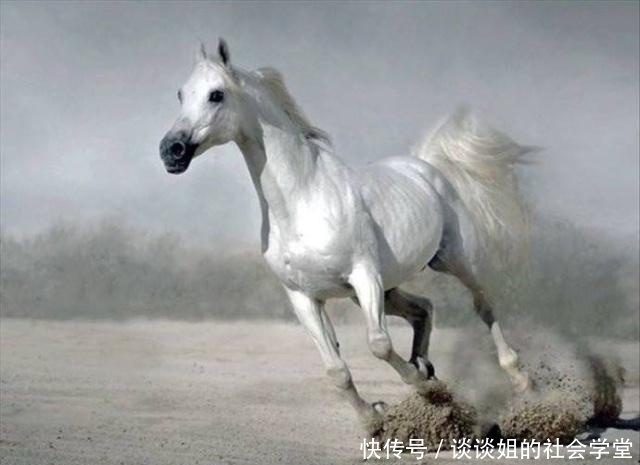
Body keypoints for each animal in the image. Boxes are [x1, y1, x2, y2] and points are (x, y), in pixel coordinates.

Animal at [159, 39, 533, 430]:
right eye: (181, 94)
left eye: (216, 94)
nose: (171, 151)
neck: (303, 201)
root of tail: (424, 166)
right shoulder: (304, 297)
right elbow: (336, 370)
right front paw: (375, 419)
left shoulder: (363, 275)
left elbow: (379, 344)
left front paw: (422, 388)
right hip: (383, 288)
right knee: (424, 309)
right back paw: (426, 366)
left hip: (451, 260)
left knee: (483, 303)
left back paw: (519, 378)